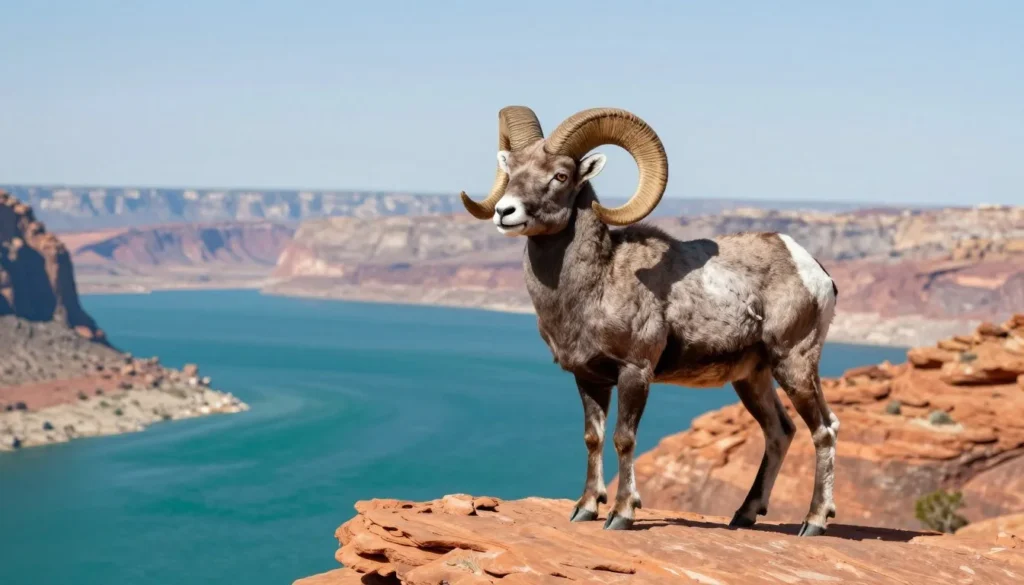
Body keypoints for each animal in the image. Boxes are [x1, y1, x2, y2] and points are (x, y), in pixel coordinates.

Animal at [460, 106, 841, 535]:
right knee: (779, 432)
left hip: (794, 364)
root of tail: (814, 270)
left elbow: (624, 439)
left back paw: (814, 522)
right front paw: (585, 509)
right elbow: (592, 438)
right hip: (752, 378)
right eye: (510, 168)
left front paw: (621, 515)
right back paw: (743, 515)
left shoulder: (635, 372)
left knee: (823, 429)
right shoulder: (588, 378)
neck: (598, 282)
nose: (504, 212)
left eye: (560, 175)